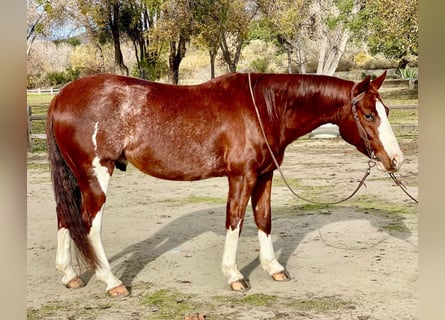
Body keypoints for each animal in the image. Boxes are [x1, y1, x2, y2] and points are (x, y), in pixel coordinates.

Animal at [46, 71, 402, 296]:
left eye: (386, 109)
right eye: (369, 115)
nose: (396, 159)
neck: (264, 108)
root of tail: (61, 96)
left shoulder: (265, 175)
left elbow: (263, 219)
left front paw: (273, 268)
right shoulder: (241, 177)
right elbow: (236, 220)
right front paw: (234, 276)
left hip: (76, 177)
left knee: (64, 216)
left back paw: (70, 276)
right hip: (96, 175)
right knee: (88, 224)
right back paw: (112, 281)